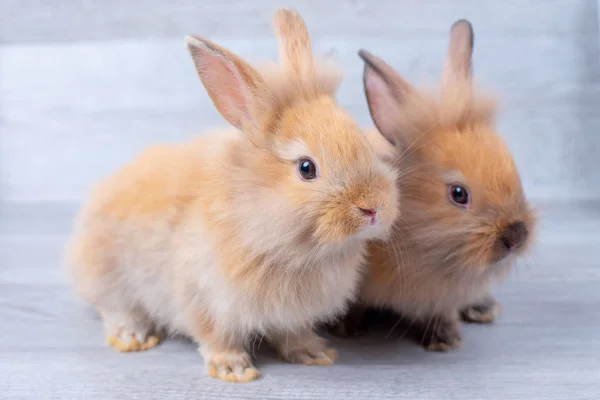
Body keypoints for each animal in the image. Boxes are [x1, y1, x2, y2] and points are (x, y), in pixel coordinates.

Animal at [332, 19, 536, 350]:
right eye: (458, 194)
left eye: (515, 173)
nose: (516, 235)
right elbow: (354, 304)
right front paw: (347, 328)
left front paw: (444, 339)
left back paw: (484, 309)